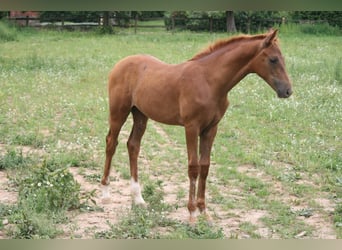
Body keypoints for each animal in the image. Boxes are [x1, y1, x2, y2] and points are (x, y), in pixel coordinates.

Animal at [100, 29, 292, 223]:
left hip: (140, 115)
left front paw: (204, 211)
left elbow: (205, 166)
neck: (209, 81)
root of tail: (120, 63)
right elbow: (193, 167)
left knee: (133, 145)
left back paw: (138, 199)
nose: (287, 91)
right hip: (118, 112)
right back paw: (105, 194)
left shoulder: (211, 129)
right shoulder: (191, 127)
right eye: (273, 59)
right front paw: (192, 213)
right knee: (111, 143)